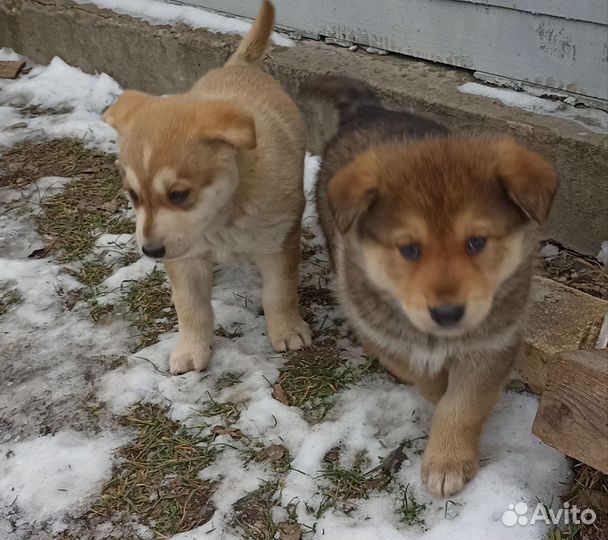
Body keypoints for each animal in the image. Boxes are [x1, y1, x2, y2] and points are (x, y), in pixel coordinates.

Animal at [103, 0, 308, 374]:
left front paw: (288, 330)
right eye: (133, 196)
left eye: (179, 195)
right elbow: (190, 306)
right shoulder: (184, 260)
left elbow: (280, 292)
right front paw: (191, 348)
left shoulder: (279, 241)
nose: (150, 251)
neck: (224, 214)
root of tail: (239, 66)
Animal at [306, 76, 560, 498]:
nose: (447, 313)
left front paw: (448, 461)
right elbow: (425, 377)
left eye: (476, 242)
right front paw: (438, 391)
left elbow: (463, 405)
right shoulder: (383, 333)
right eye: (409, 249)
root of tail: (370, 110)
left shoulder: (492, 342)